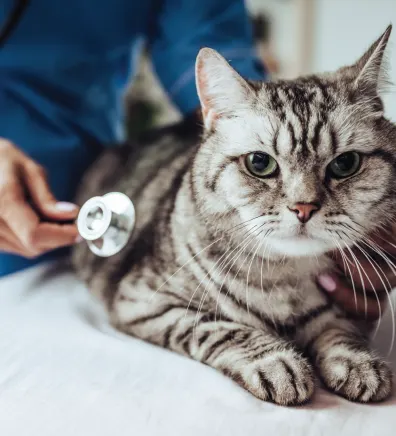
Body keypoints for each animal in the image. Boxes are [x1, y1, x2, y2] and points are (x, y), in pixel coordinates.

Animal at [72, 27, 394, 408]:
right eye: (260, 163)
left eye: (345, 164)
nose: (304, 207)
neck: (282, 278)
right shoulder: (146, 301)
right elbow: (223, 329)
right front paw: (278, 363)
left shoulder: (344, 308)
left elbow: (339, 330)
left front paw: (358, 362)